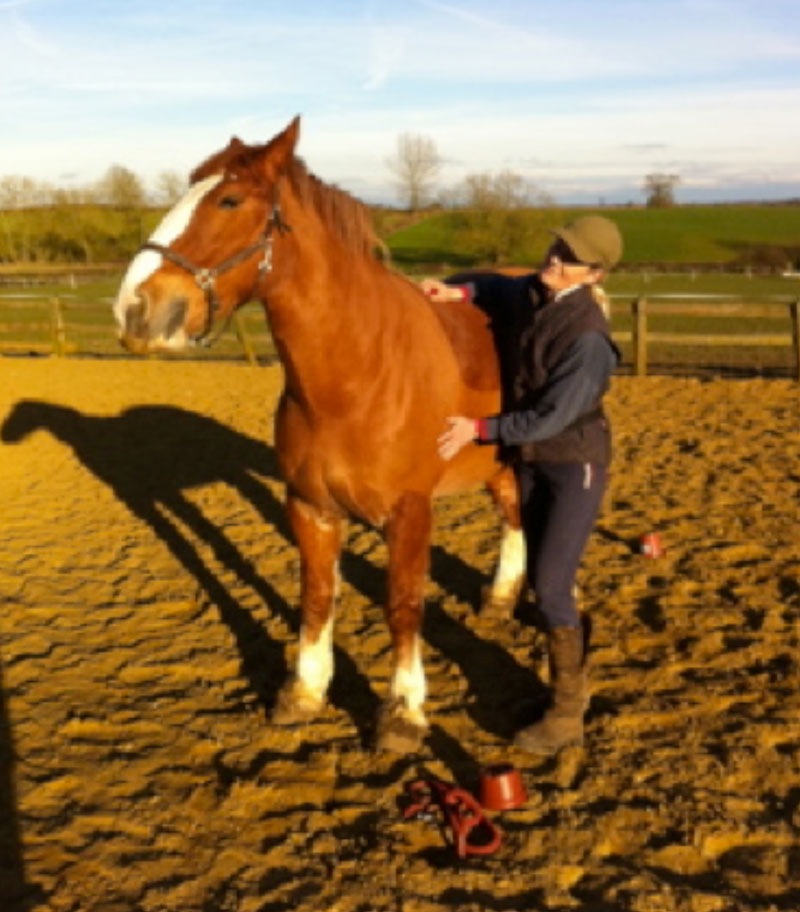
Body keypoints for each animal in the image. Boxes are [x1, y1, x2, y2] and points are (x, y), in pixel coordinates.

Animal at [114, 116, 525, 752]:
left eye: (230, 200)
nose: (134, 310)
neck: (357, 376)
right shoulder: (309, 506)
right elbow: (316, 597)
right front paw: (304, 692)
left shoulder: (409, 513)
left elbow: (403, 605)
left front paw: (403, 712)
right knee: (509, 509)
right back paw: (501, 597)